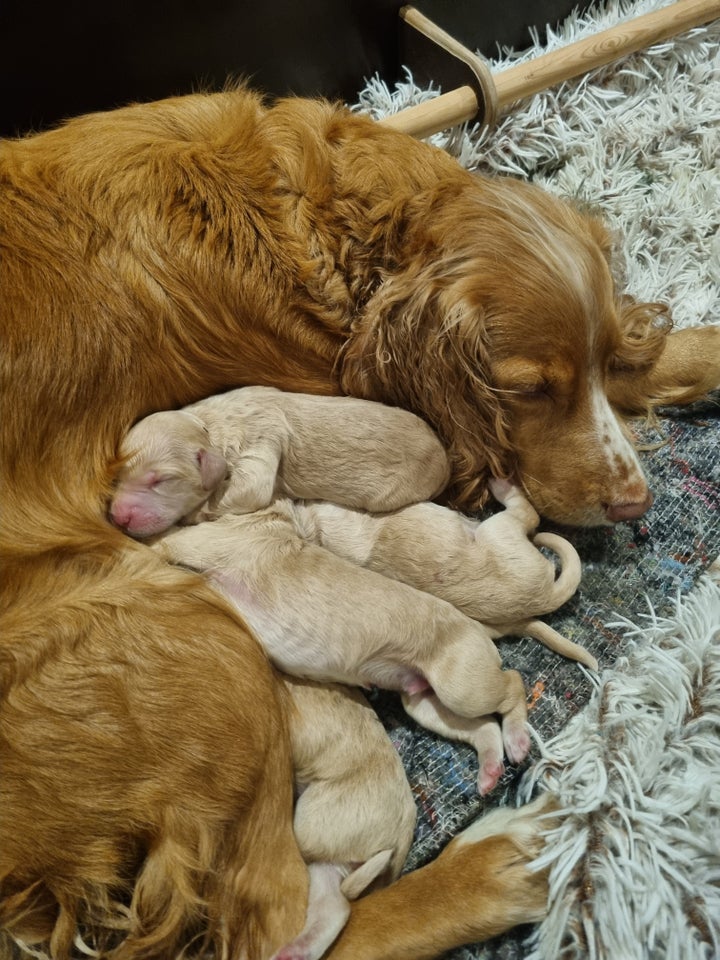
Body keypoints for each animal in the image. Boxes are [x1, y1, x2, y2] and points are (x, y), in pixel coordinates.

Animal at [109, 390, 448, 540]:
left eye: (161, 481)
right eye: (117, 477)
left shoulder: (259, 441)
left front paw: (192, 515)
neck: (208, 428)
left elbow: (250, 490)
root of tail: (445, 461)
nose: (118, 516)